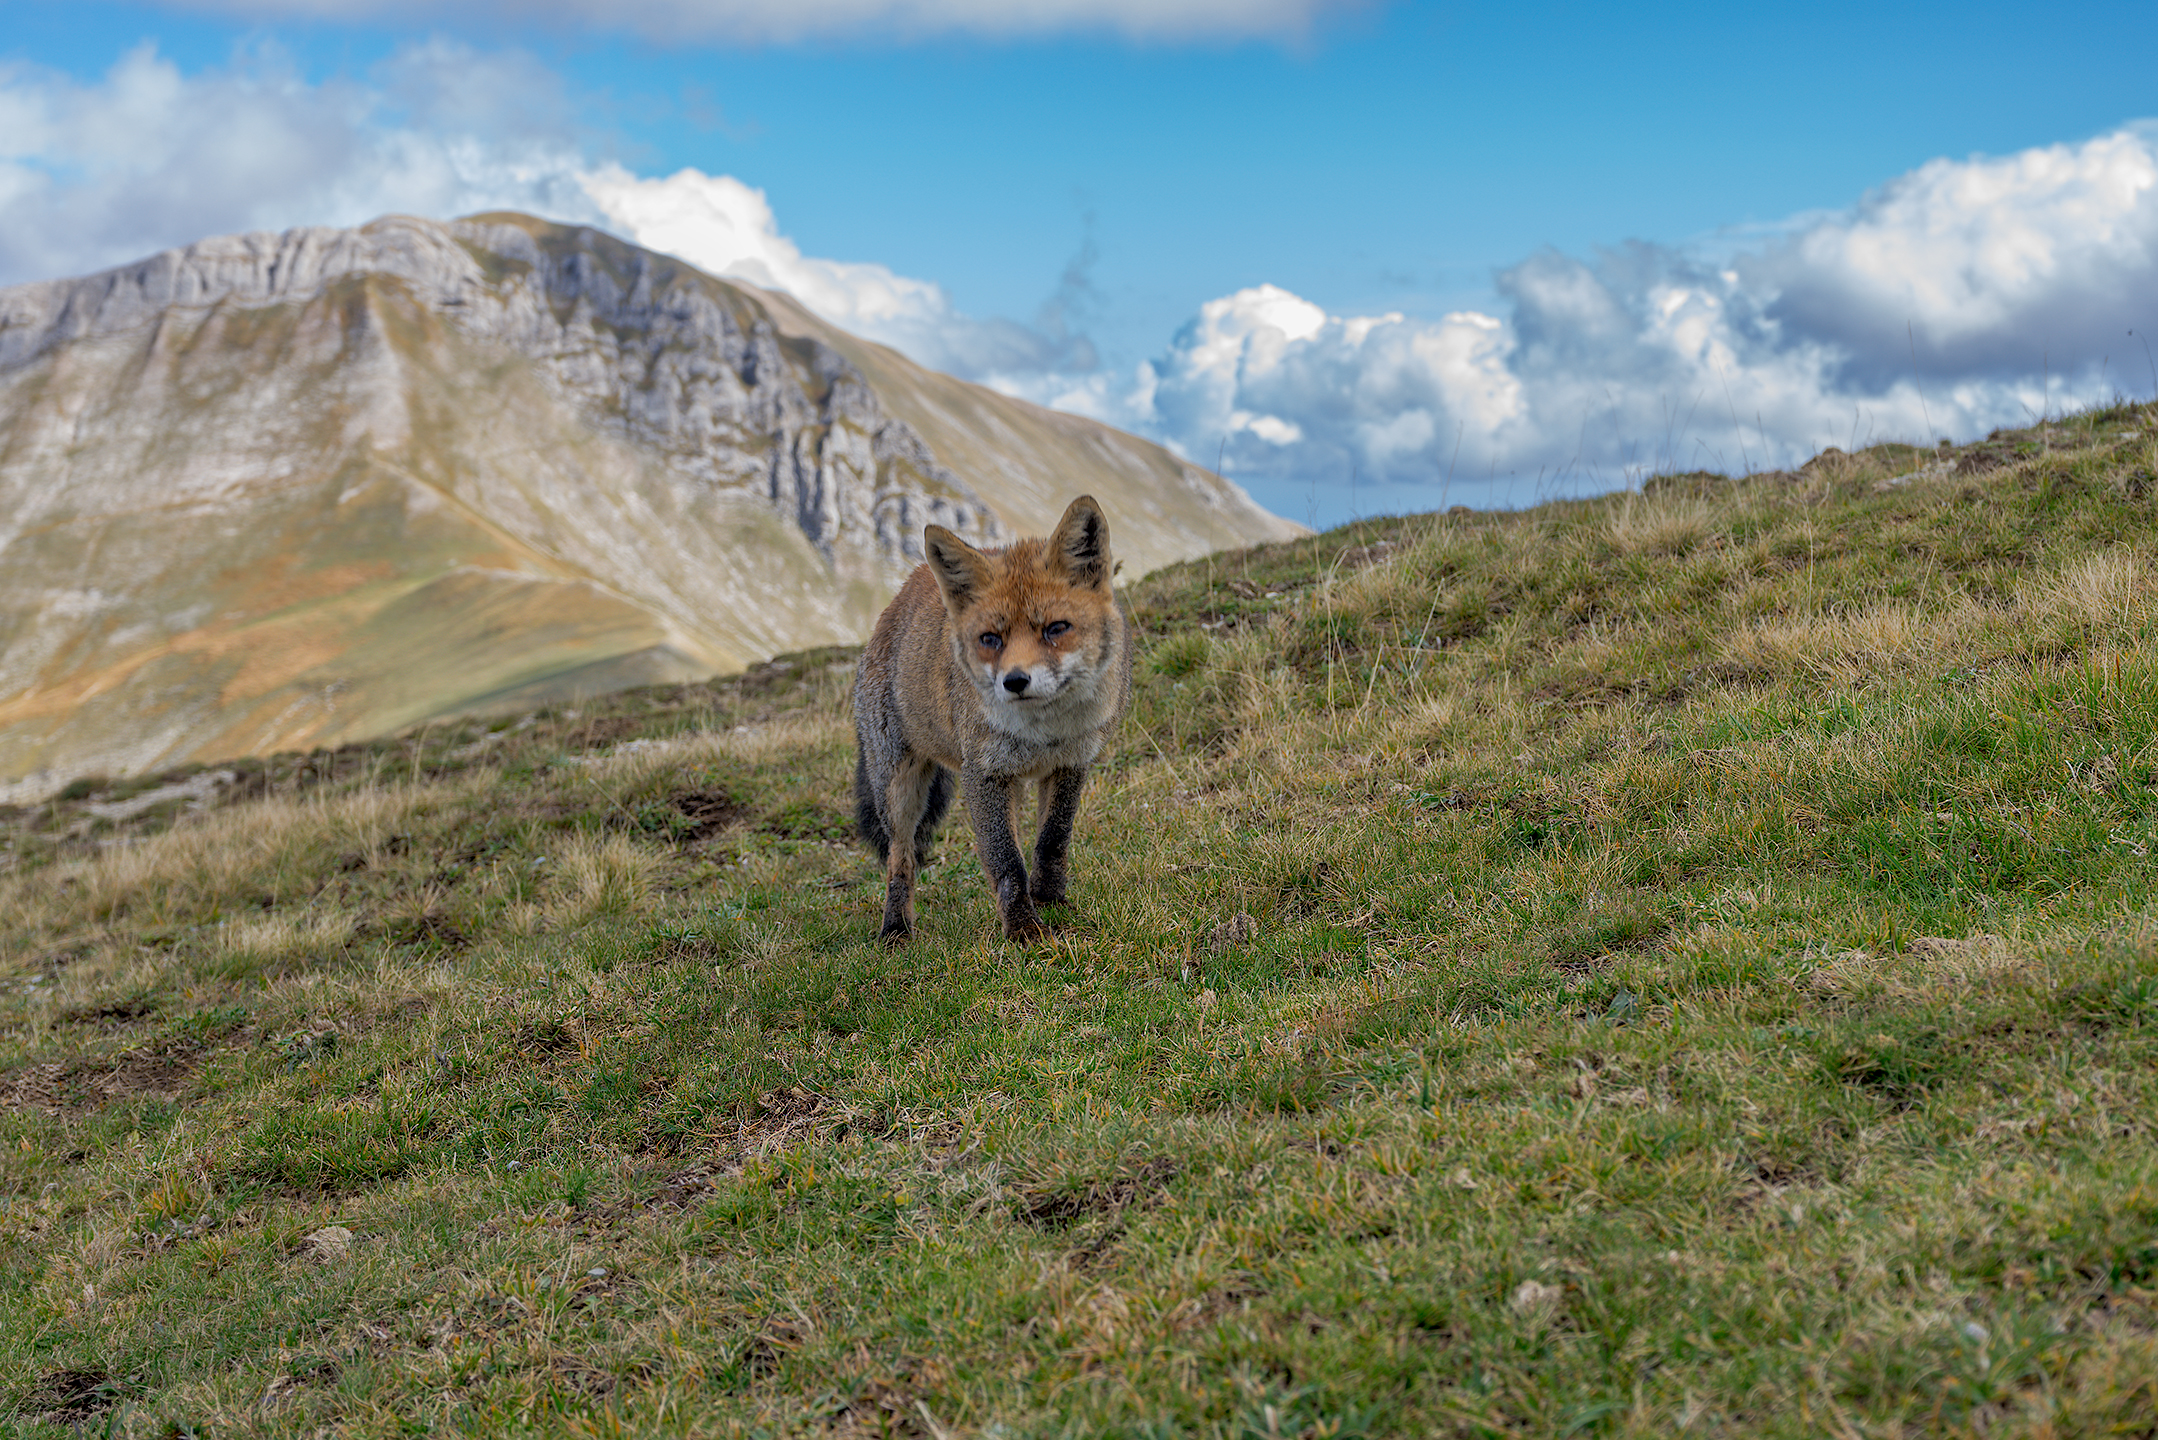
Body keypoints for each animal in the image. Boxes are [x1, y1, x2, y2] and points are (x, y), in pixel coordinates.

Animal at [853, 494, 1136, 945]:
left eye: (1056, 629)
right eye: (991, 639)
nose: (1015, 681)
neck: (1043, 732)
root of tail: (903, 592)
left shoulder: (1071, 763)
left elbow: (1052, 841)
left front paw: (1050, 900)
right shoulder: (983, 774)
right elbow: (1005, 861)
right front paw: (1023, 929)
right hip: (898, 789)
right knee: (901, 861)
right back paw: (896, 928)